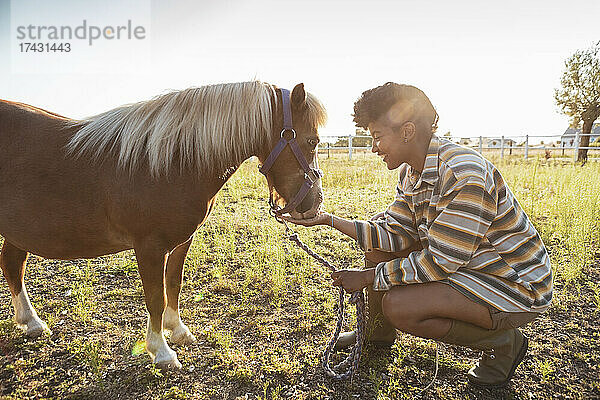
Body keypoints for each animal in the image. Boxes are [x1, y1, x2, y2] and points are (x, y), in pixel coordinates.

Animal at [0, 81, 326, 368]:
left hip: (18, 232)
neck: (170, 162)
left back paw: (32, 323)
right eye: (312, 141)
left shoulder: (182, 241)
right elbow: (155, 297)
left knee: (12, 265)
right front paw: (161, 351)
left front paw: (177, 330)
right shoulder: (149, 247)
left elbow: (174, 284)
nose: (314, 204)